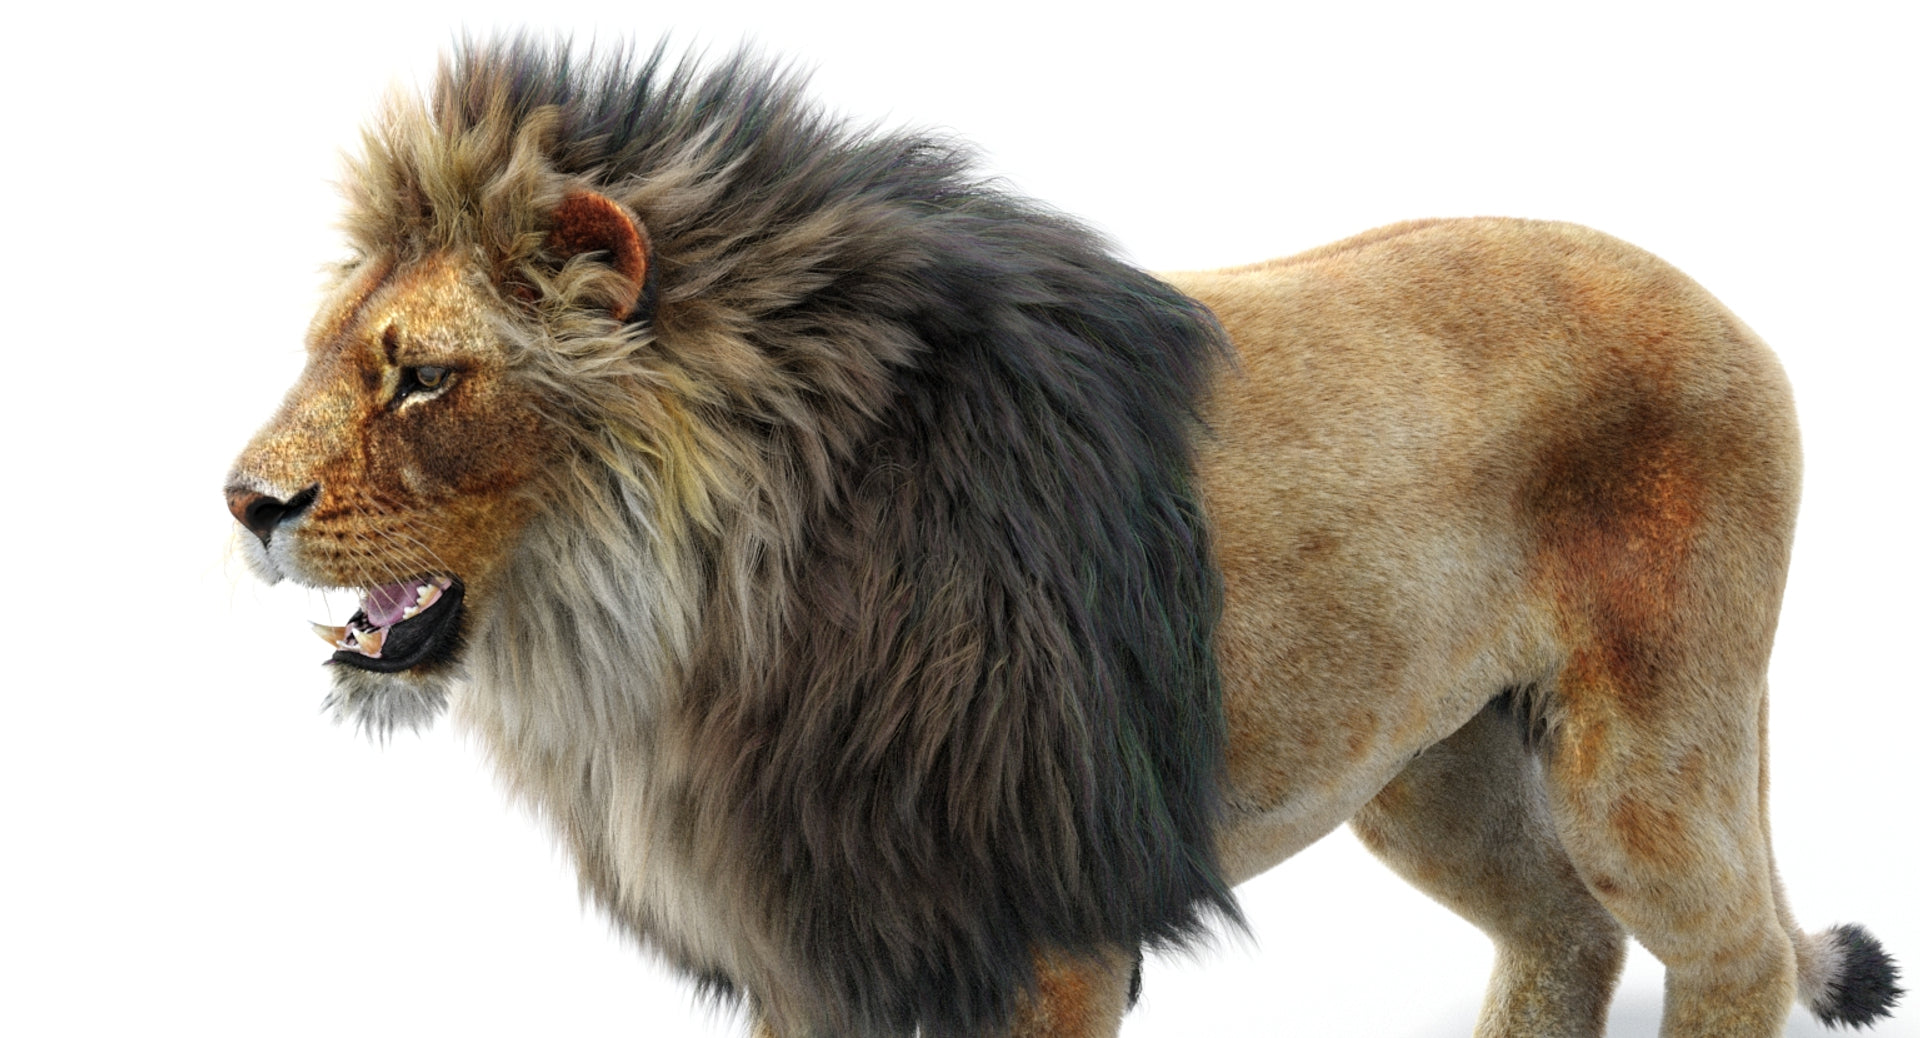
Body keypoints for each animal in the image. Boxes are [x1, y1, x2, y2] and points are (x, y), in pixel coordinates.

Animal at [225, 39, 1900, 1037]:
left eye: (423, 375)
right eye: (329, 351)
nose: (243, 504)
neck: (691, 620)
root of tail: (1724, 306)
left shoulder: (1049, 933)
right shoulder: (812, 940)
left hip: (1648, 752)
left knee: (1733, 950)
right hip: (1432, 767)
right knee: (1566, 935)